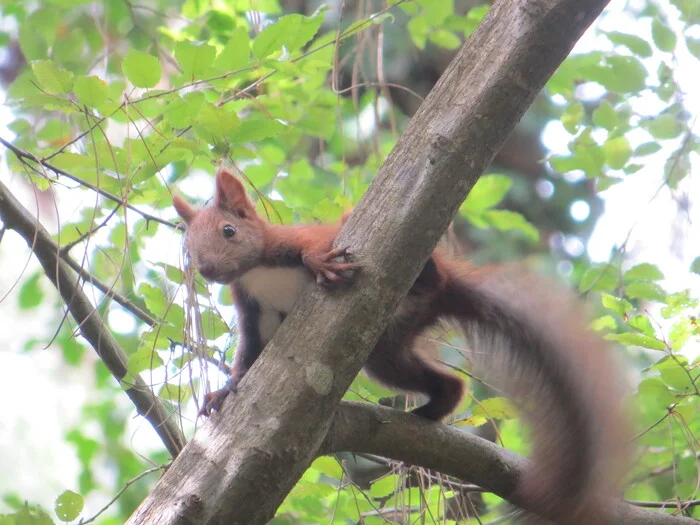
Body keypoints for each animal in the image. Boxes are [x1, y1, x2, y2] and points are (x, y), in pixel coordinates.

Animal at [175, 166, 628, 520]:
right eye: (189, 247)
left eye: (229, 230)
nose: (208, 269)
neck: (257, 272)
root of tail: (443, 291)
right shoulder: (254, 312)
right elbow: (249, 358)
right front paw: (224, 391)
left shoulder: (291, 242)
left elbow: (309, 249)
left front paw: (319, 262)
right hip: (388, 347)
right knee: (443, 381)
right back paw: (432, 409)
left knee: (419, 270)